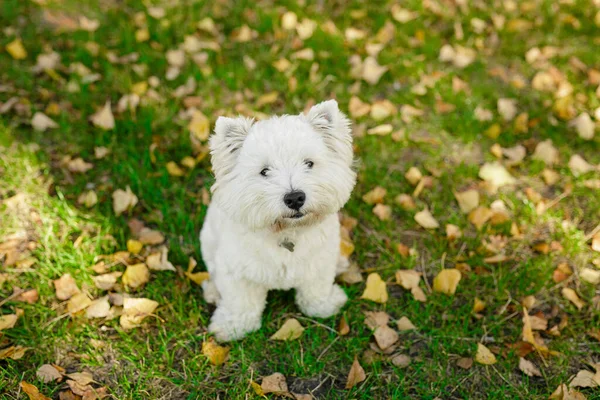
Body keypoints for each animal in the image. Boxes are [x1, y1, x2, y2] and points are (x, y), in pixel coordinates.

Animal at [199, 100, 356, 340]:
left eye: (309, 163)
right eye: (264, 171)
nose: (295, 198)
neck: (286, 231)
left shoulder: (319, 262)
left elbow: (316, 288)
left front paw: (324, 306)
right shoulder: (236, 272)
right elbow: (240, 302)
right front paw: (233, 326)